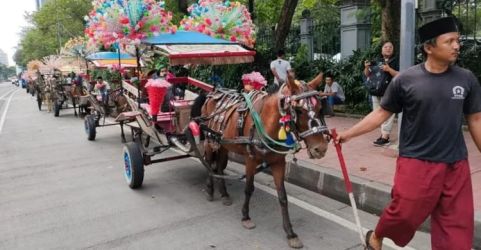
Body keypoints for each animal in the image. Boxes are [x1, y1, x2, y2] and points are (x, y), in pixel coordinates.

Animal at [191, 73, 330, 248]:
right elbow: (249, 189)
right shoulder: (251, 160)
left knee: (220, 166)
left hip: (223, 143)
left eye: (320, 108)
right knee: (210, 164)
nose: (321, 149)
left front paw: (290, 233)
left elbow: (283, 197)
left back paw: (224, 194)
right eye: (298, 110)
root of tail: (211, 93)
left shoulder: (278, 163)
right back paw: (210, 190)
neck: (266, 124)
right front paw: (246, 216)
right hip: (210, 140)